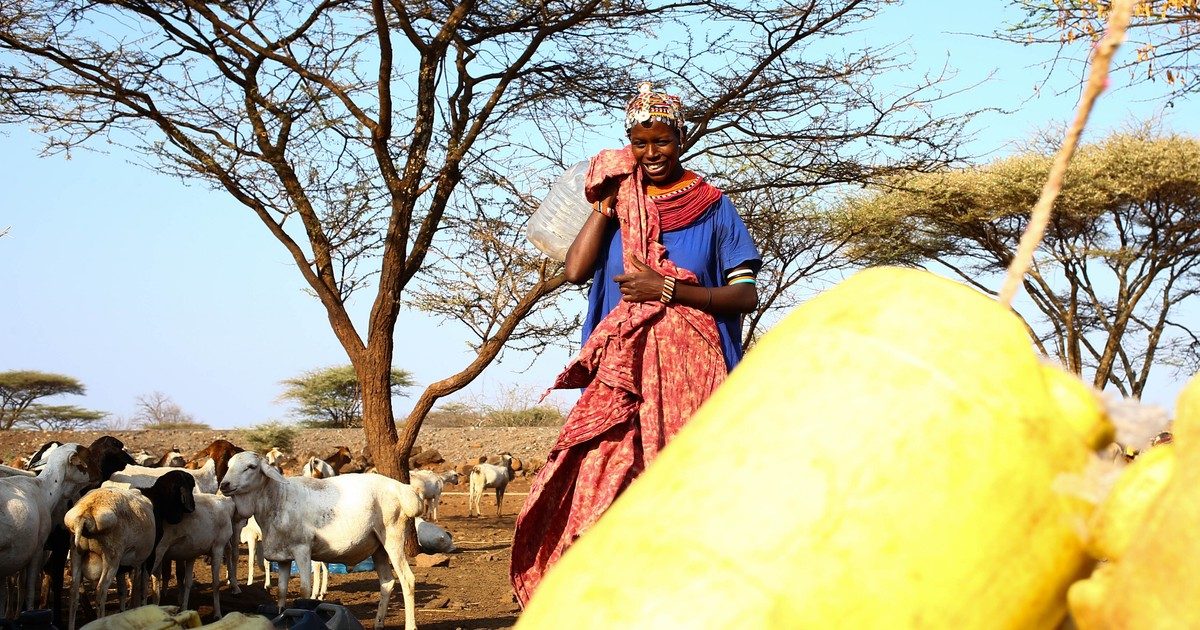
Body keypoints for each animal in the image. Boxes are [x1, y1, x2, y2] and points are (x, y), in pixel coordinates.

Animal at [223, 451, 424, 628]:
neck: (278, 498)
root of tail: (403, 490)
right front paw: (281, 613)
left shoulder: (302, 550)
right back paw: (379, 623)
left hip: (393, 537)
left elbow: (304, 590)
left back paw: (410, 625)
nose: (224, 485)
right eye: (229, 465)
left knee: (407, 579)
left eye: (251, 467)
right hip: (378, 547)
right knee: (387, 583)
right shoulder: (283, 558)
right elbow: (281, 592)